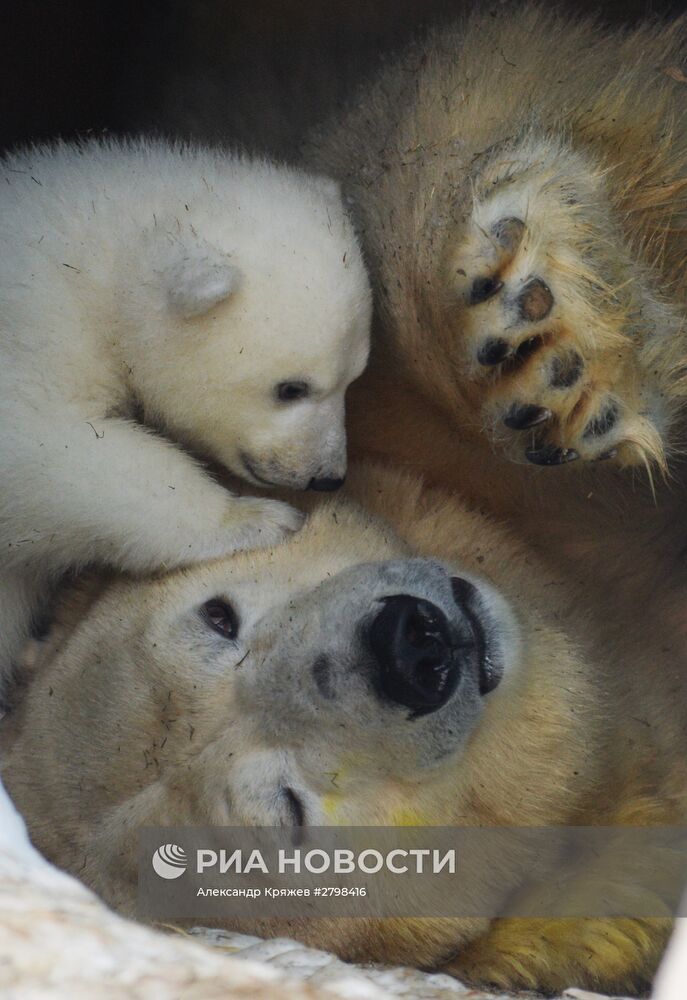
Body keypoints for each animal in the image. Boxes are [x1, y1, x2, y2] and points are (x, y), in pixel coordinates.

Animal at [0, 137, 370, 692]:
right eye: (291, 388)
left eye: (355, 378)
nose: (326, 477)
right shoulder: (35, 332)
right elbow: (45, 445)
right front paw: (254, 517)